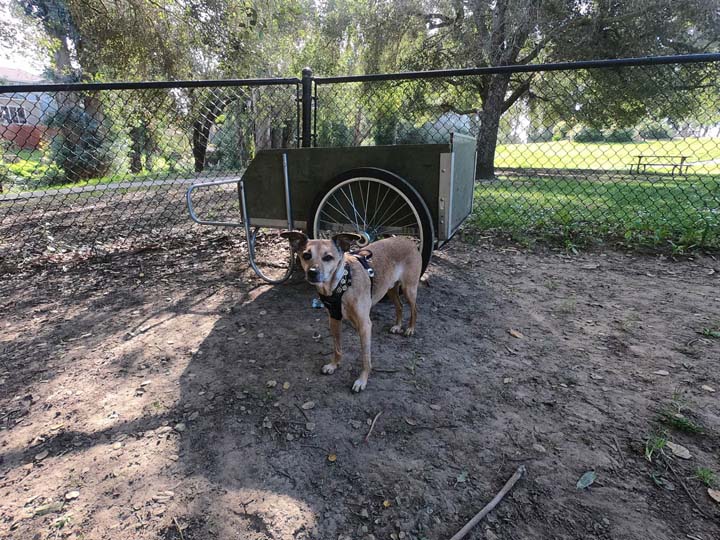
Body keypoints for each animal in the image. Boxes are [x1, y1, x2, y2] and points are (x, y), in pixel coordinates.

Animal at [278, 232, 420, 392]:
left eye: (328, 257)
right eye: (306, 255)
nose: (312, 272)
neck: (342, 284)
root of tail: (407, 240)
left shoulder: (365, 326)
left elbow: (365, 358)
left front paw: (362, 380)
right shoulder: (334, 320)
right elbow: (337, 348)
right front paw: (334, 365)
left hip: (409, 289)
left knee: (414, 309)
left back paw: (410, 329)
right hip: (390, 289)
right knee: (399, 306)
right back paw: (397, 326)